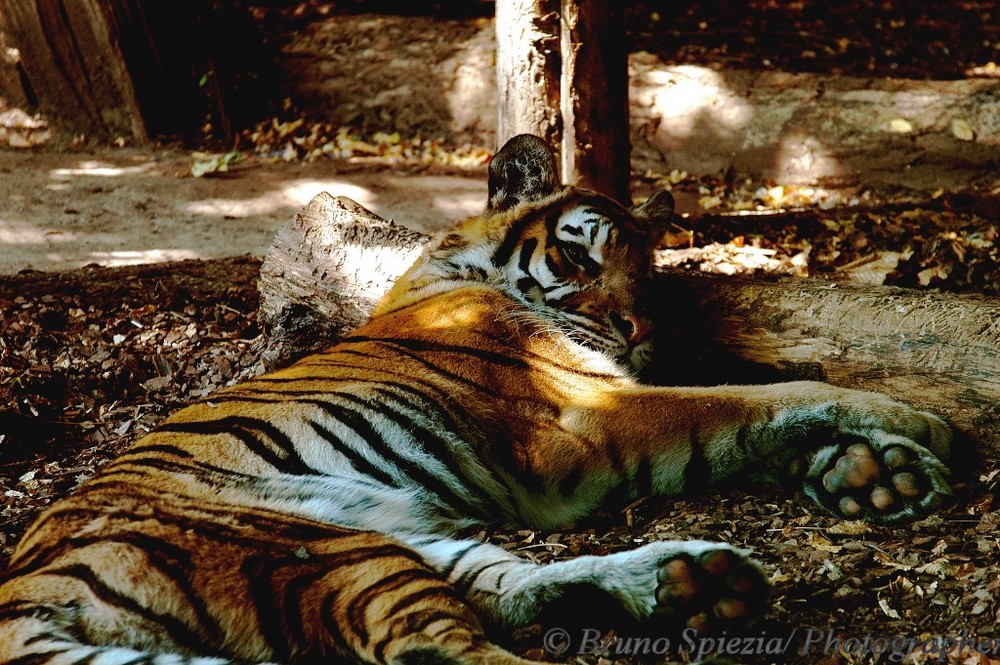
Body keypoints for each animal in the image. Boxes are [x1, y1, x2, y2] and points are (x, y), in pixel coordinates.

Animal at [0, 135, 952, 664]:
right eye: (577, 255)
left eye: (647, 267)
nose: (640, 325)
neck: (453, 264)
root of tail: (23, 593)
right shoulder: (583, 416)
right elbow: (750, 402)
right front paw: (920, 423)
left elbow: (752, 420)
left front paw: (877, 475)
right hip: (317, 546)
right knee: (435, 644)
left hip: (396, 531)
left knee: (502, 592)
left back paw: (690, 582)